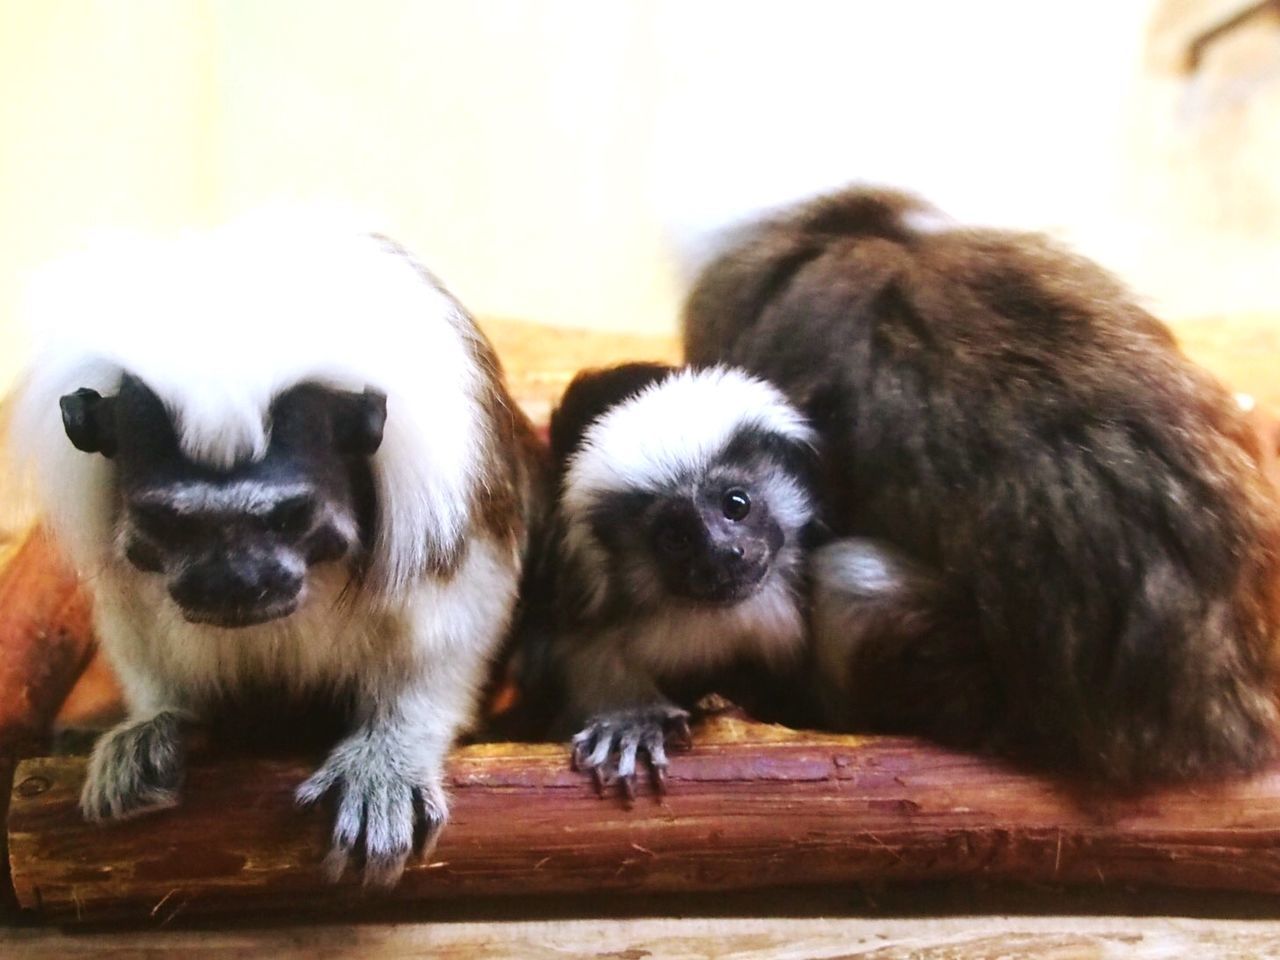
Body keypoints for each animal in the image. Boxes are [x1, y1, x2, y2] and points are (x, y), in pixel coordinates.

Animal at [6, 217, 545, 885]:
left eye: (291, 516)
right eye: (169, 522)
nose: (232, 583)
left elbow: (454, 627)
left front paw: (388, 759)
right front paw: (156, 722)